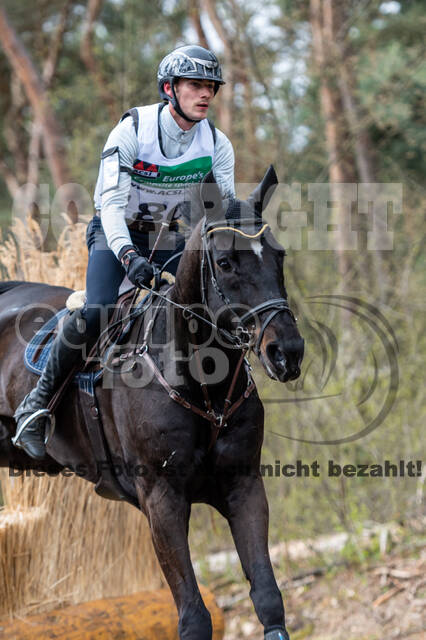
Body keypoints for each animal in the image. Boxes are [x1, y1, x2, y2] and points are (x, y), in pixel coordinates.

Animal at [0, 170, 306, 640]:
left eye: (279, 255)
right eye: (225, 263)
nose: (286, 352)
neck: (202, 383)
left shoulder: (244, 487)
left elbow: (269, 598)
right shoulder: (162, 501)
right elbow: (194, 617)